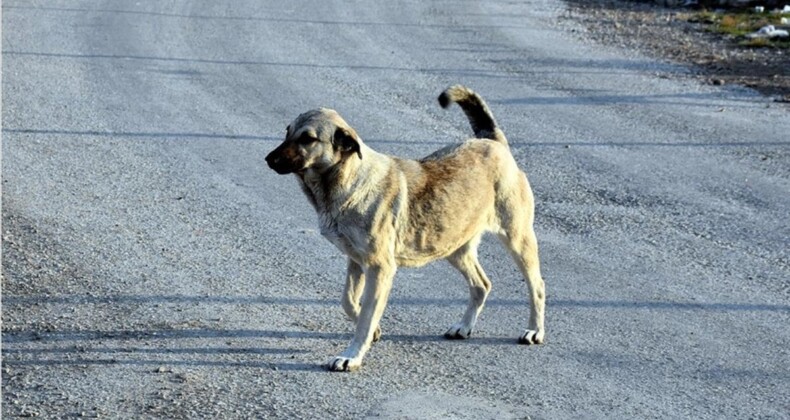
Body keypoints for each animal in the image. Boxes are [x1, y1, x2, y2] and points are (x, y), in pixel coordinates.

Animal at [266, 85, 544, 370]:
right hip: (454, 247)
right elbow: (348, 301)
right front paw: (373, 331)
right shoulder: (356, 262)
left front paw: (352, 355)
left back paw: (535, 330)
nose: (268, 159)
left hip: (517, 240)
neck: (350, 180)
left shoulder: (380, 268)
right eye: (287, 132)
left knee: (537, 286)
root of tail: (494, 142)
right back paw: (465, 326)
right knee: (481, 285)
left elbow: (366, 318)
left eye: (307, 138)